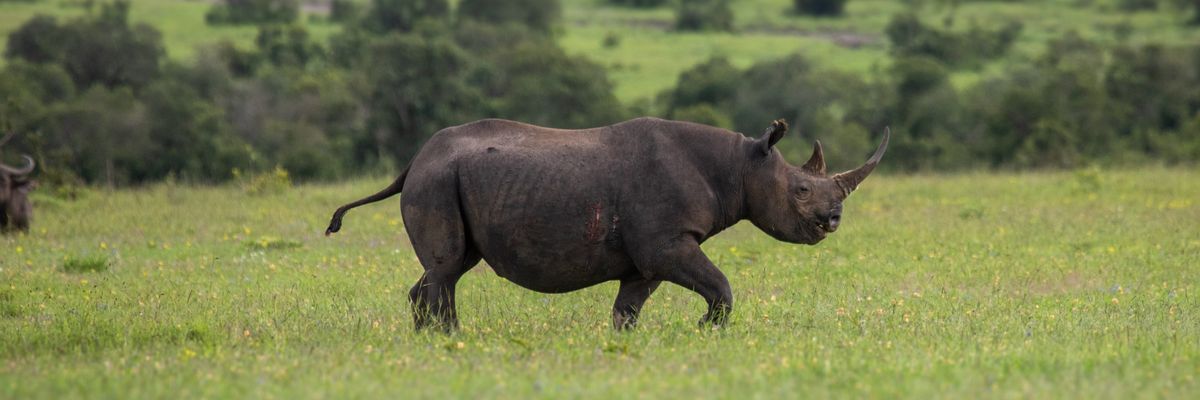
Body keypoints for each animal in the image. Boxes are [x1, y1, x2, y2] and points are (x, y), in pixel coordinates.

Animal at [326, 117, 888, 331]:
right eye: (801, 190)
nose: (833, 220)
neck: (740, 165)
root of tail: (415, 160)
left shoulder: (649, 255)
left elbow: (628, 307)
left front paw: (624, 342)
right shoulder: (667, 242)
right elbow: (721, 285)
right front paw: (707, 328)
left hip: (445, 178)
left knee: (452, 265)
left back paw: (429, 339)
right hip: (438, 179)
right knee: (445, 270)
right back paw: (452, 339)